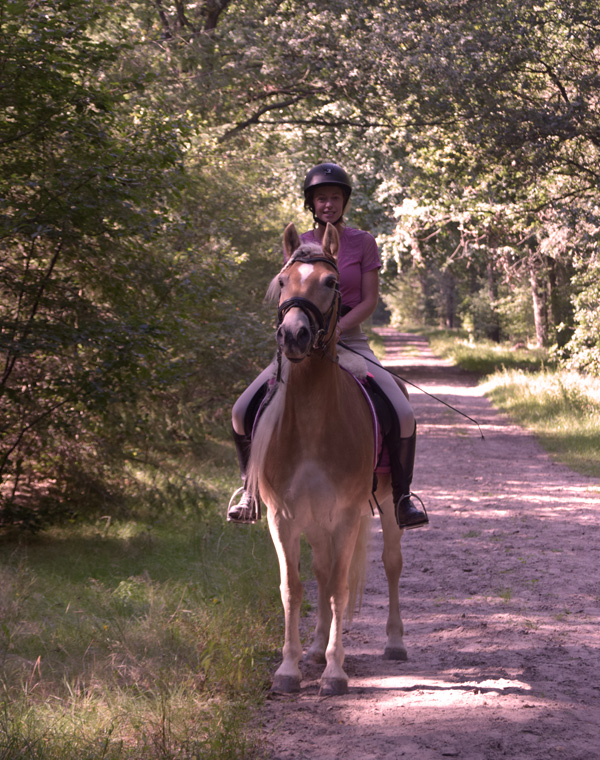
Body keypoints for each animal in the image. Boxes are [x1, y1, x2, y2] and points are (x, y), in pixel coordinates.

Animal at [246, 221, 406, 696]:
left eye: (331, 282)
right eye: (283, 281)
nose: (293, 335)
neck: (314, 425)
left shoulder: (348, 513)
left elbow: (338, 586)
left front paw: (335, 672)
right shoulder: (283, 515)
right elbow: (293, 586)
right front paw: (290, 668)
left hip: (385, 501)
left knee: (391, 563)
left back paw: (394, 643)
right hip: (315, 518)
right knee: (319, 571)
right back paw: (315, 650)